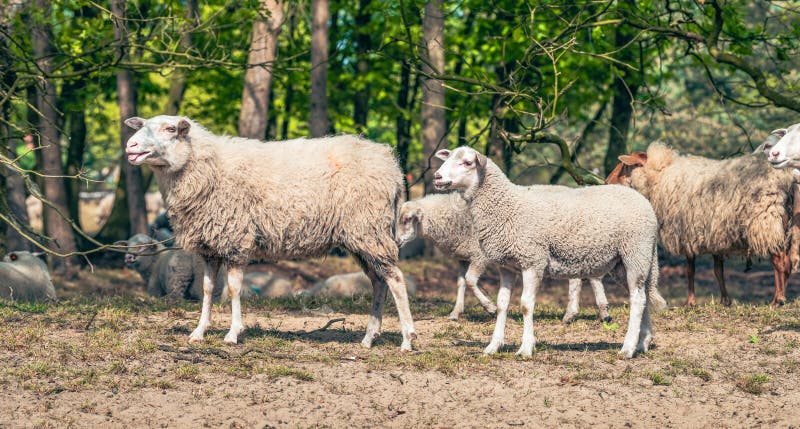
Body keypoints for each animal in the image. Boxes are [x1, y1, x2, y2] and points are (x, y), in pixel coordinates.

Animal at [123, 115, 418, 350]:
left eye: (170, 129)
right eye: (143, 125)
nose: (130, 146)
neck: (207, 166)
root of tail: (390, 164)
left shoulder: (235, 238)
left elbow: (233, 288)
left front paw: (233, 333)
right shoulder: (211, 246)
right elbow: (207, 289)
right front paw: (199, 331)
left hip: (369, 229)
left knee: (396, 279)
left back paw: (407, 338)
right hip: (363, 236)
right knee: (379, 282)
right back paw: (369, 337)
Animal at [398, 192, 612, 322]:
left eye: (408, 219)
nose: (398, 241)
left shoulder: (479, 255)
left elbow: (470, 281)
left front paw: (490, 308)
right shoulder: (463, 257)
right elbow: (461, 283)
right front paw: (455, 313)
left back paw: (579, 313)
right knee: (588, 276)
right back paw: (600, 313)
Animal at [432, 145, 664, 356]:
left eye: (467, 162)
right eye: (449, 157)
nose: (437, 177)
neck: (506, 205)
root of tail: (645, 204)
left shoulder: (532, 260)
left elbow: (526, 305)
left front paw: (526, 348)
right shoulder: (507, 266)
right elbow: (502, 305)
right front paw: (493, 346)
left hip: (635, 252)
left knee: (637, 300)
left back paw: (627, 348)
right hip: (626, 262)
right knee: (643, 296)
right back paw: (642, 343)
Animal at [608, 142, 796, 306]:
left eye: (623, 166)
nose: (607, 181)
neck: (660, 176)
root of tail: (785, 178)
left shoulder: (685, 232)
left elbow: (690, 270)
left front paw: (690, 303)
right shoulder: (715, 234)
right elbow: (718, 270)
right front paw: (725, 301)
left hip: (766, 220)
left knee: (779, 261)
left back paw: (777, 299)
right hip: (788, 225)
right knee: (788, 263)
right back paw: (783, 297)